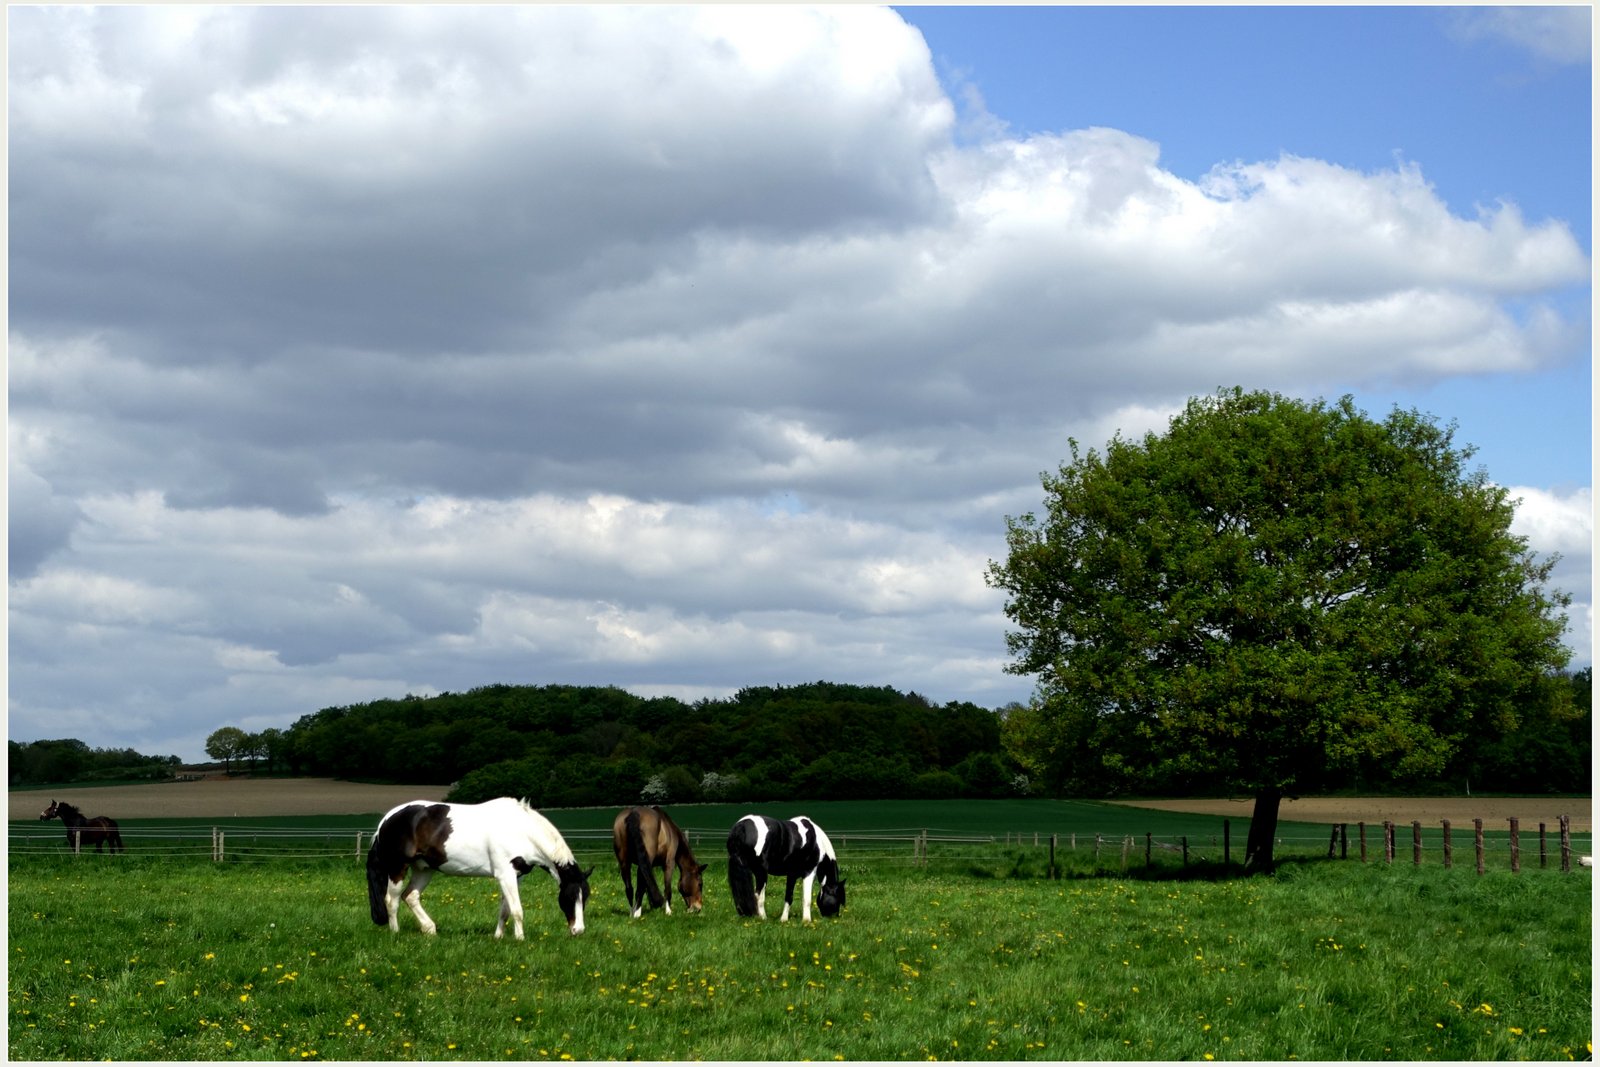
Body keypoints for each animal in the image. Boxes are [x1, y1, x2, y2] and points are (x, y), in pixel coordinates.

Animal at [366, 796, 595, 940]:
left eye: (585, 897)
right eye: (569, 897)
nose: (578, 930)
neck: (521, 830)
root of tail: (386, 820)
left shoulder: (516, 876)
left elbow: (505, 910)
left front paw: (498, 937)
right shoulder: (505, 874)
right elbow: (517, 910)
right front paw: (520, 939)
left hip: (424, 869)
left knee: (411, 896)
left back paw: (430, 929)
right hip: (398, 867)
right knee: (392, 900)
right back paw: (395, 933)